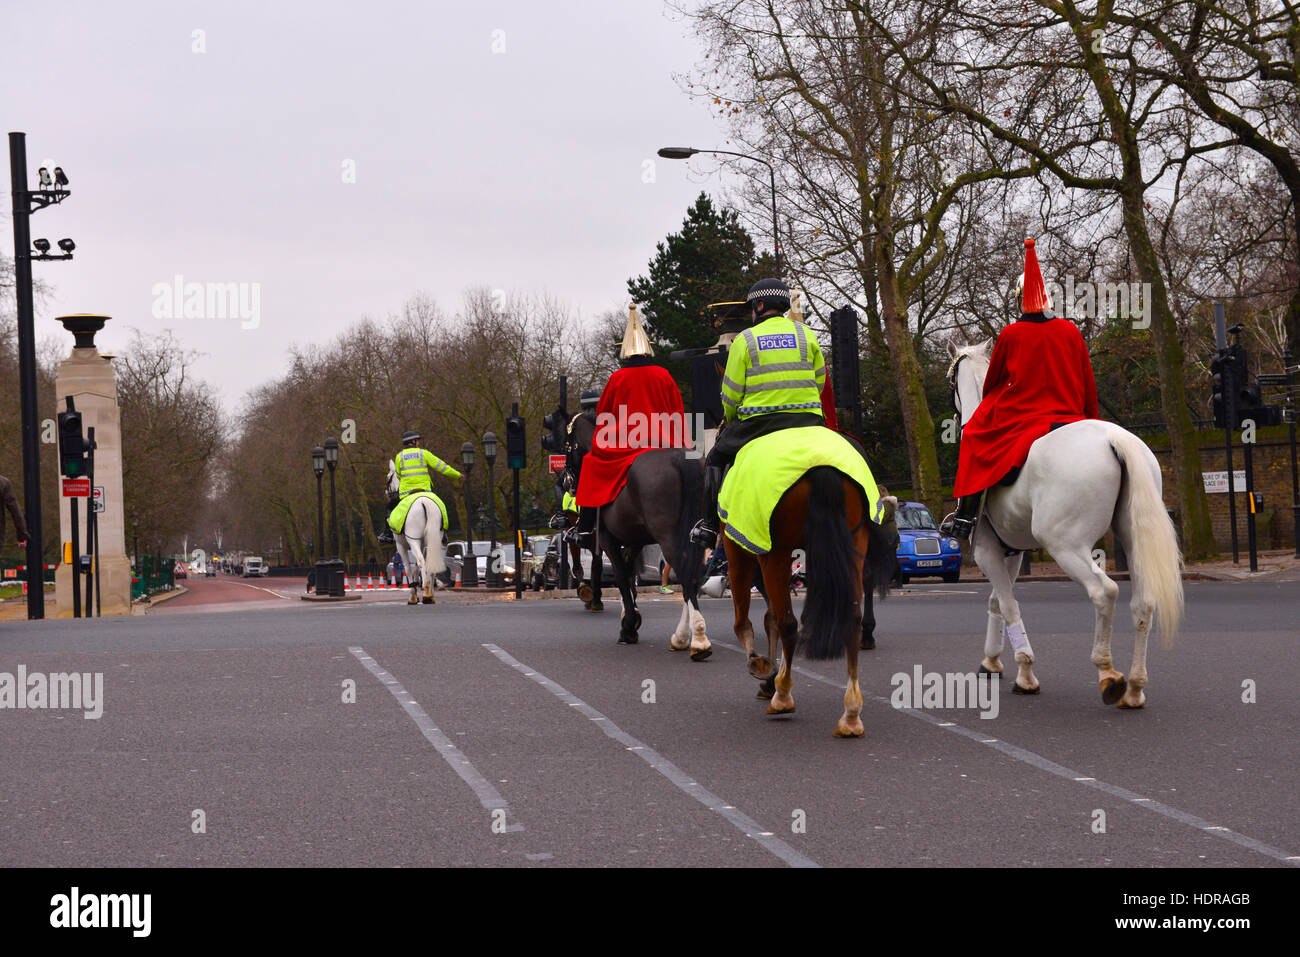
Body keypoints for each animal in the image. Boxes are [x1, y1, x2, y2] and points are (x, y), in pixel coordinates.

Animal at [384, 462, 447, 605]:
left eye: (388, 477)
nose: (387, 493)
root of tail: (424, 502)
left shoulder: (401, 546)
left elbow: (408, 568)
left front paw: (413, 596)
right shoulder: (422, 544)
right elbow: (415, 568)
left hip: (413, 540)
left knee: (421, 561)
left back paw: (426, 591)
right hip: (433, 540)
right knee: (430, 564)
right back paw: (430, 595)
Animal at [722, 468, 894, 738]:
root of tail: (822, 469)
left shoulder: (738, 544)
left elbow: (747, 620)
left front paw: (762, 668)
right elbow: (770, 616)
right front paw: (769, 678)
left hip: (776, 553)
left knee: (787, 623)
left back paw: (782, 695)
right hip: (854, 542)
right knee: (851, 618)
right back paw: (851, 715)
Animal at [951, 340, 1185, 707]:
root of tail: (1115, 439)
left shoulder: (987, 550)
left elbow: (1008, 604)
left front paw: (1025, 672)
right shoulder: (1011, 552)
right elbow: (998, 602)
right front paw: (992, 661)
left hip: (1066, 546)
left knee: (1104, 591)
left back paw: (1108, 673)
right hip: (1132, 540)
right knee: (1143, 603)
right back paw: (1134, 687)